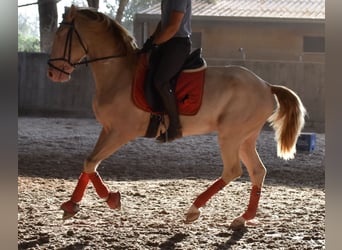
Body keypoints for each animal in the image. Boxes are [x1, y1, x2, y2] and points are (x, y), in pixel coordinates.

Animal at [46, 4, 306, 230]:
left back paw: (194, 209)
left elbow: (91, 162)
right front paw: (73, 205)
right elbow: (90, 162)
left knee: (233, 171)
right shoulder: (108, 129)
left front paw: (109, 199)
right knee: (257, 171)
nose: (52, 73)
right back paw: (243, 217)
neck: (120, 74)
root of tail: (266, 86)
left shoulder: (121, 132)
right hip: (245, 138)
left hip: (231, 135)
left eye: (61, 35)